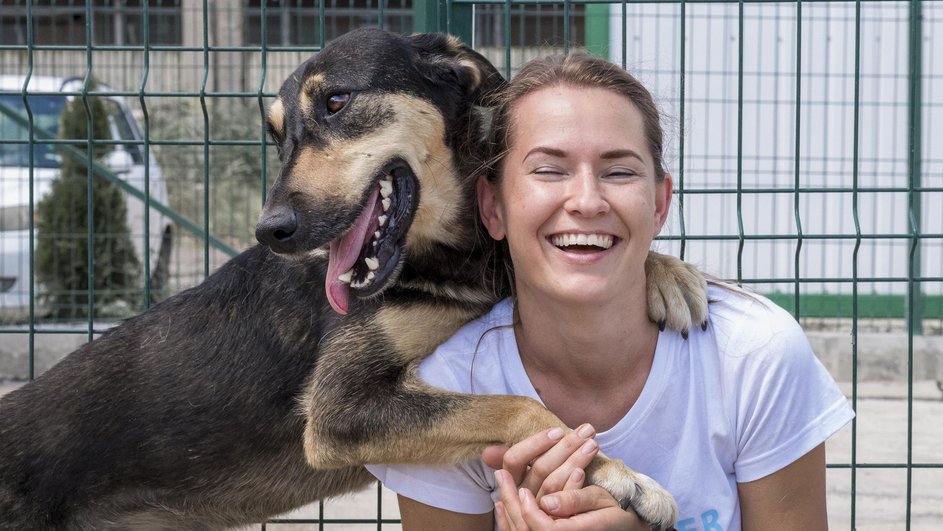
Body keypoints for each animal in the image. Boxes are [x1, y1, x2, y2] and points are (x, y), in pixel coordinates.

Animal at [1, 30, 708, 531]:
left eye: (337, 101)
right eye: (276, 135)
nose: (271, 230)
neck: (447, 258)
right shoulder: (338, 409)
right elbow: (518, 405)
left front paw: (670, 275)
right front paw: (624, 477)